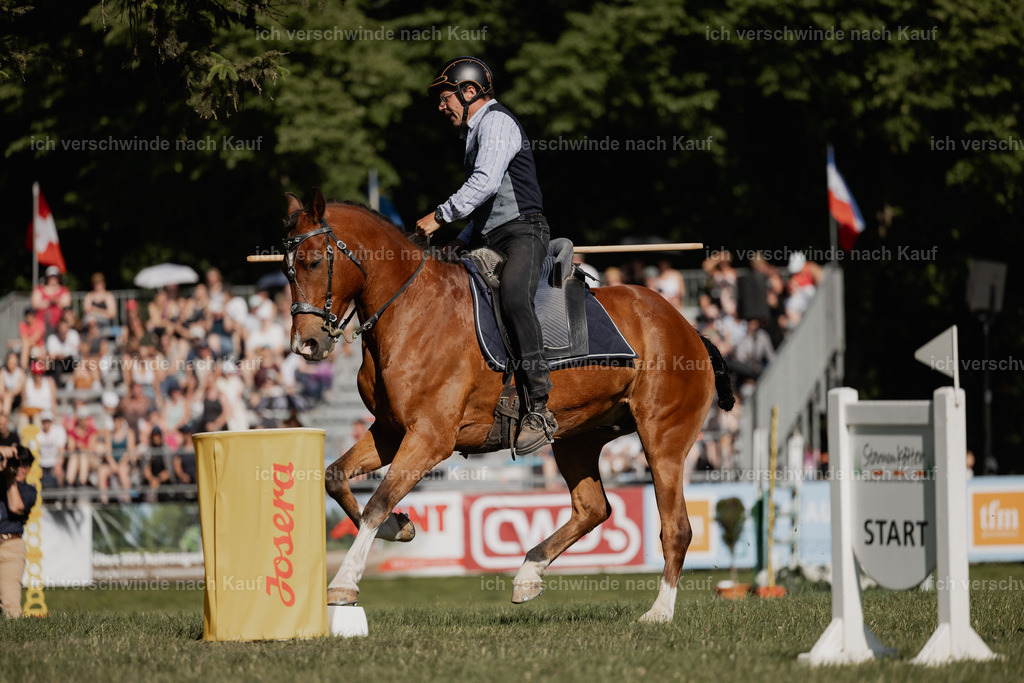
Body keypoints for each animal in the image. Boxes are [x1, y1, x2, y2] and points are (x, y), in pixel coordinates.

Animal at [283, 189, 734, 623]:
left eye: (313, 262)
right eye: (287, 270)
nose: (306, 344)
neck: (411, 308)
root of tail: (688, 328)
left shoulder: (430, 437)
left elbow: (379, 501)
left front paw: (344, 582)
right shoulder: (392, 431)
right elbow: (336, 477)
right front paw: (399, 528)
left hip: (663, 439)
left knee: (676, 528)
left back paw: (659, 611)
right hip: (576, 438)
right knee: (592, 508)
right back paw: (528, 573)